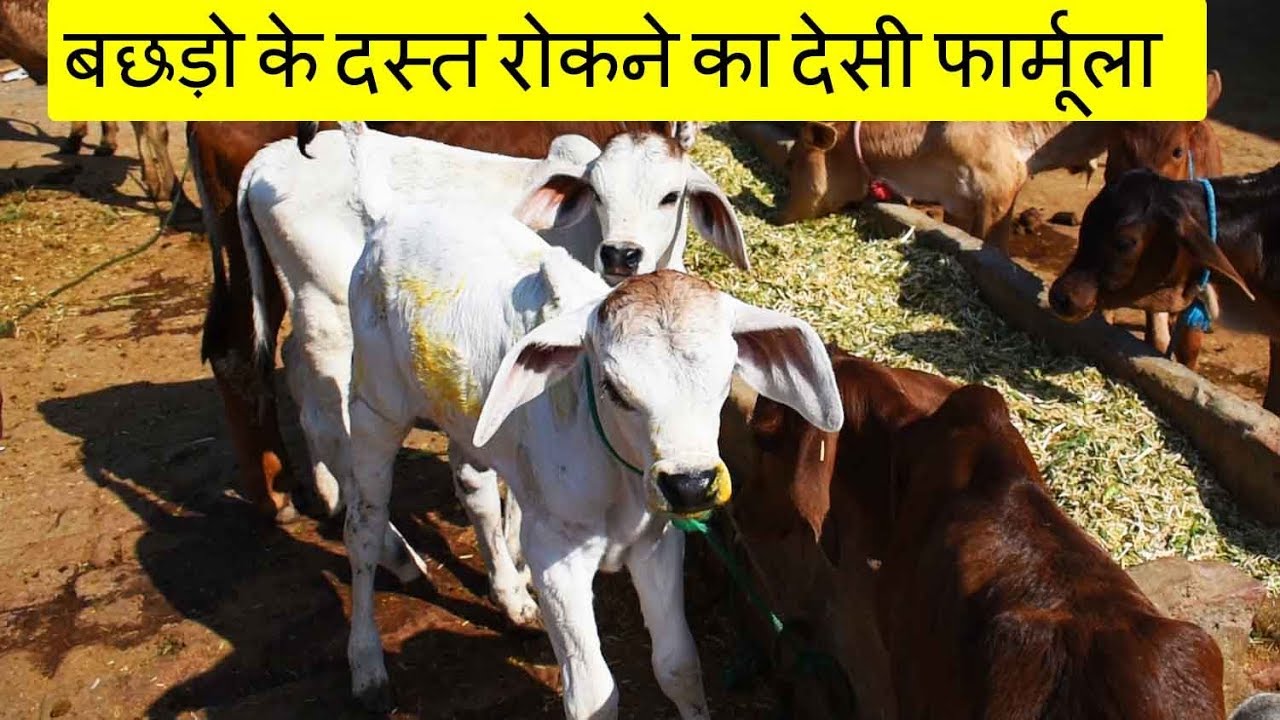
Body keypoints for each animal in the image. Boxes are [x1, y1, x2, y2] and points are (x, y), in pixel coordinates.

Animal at [340, 121, 844, 717]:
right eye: (612, 385)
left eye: (726, 379)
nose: (692, 484)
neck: (617, 476)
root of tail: (389, 217)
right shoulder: (555, 556)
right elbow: (592, 693)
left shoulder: (658, 544)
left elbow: (678, 666)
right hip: (374, 410)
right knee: (364, 527)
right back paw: (367, 666)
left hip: (466, 418)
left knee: (474, 485)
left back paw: (511, 598)